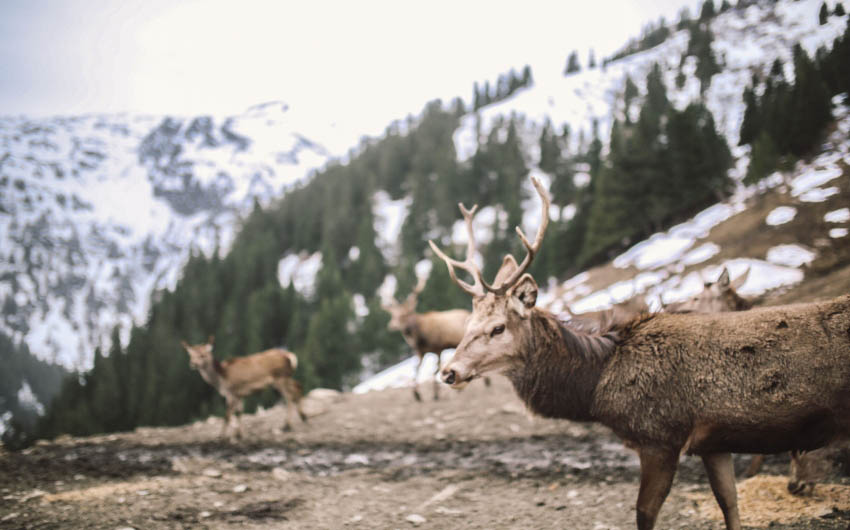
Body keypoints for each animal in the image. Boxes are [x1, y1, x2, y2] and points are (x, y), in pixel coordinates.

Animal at [430, 175, 848, 524]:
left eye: (498, 327)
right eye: (467, 326)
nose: (448, 371)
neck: (596, 385)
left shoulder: (660, 436)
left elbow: (645, 513)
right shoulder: (713, 441)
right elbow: (730, 505)